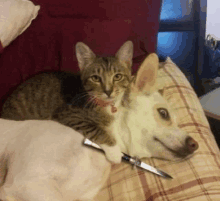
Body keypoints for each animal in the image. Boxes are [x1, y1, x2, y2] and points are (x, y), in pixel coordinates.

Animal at [1, 41, 132, 163]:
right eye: (95, 78)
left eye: (117, 76)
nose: (108, 91)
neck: (104, 105)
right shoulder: (68, 114)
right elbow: (96, 129)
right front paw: (114, 151)